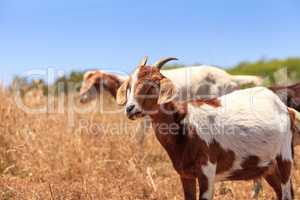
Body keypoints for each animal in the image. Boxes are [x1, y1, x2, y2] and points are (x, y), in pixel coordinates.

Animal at [116, 56, 296, 200]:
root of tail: (284, 107)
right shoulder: (185, 174)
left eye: (153, 84)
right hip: (268, 167)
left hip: (284, 157)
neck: (185, 124)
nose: (130, 109)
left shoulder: (207, 171)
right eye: (130, 86)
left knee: (287, 193)